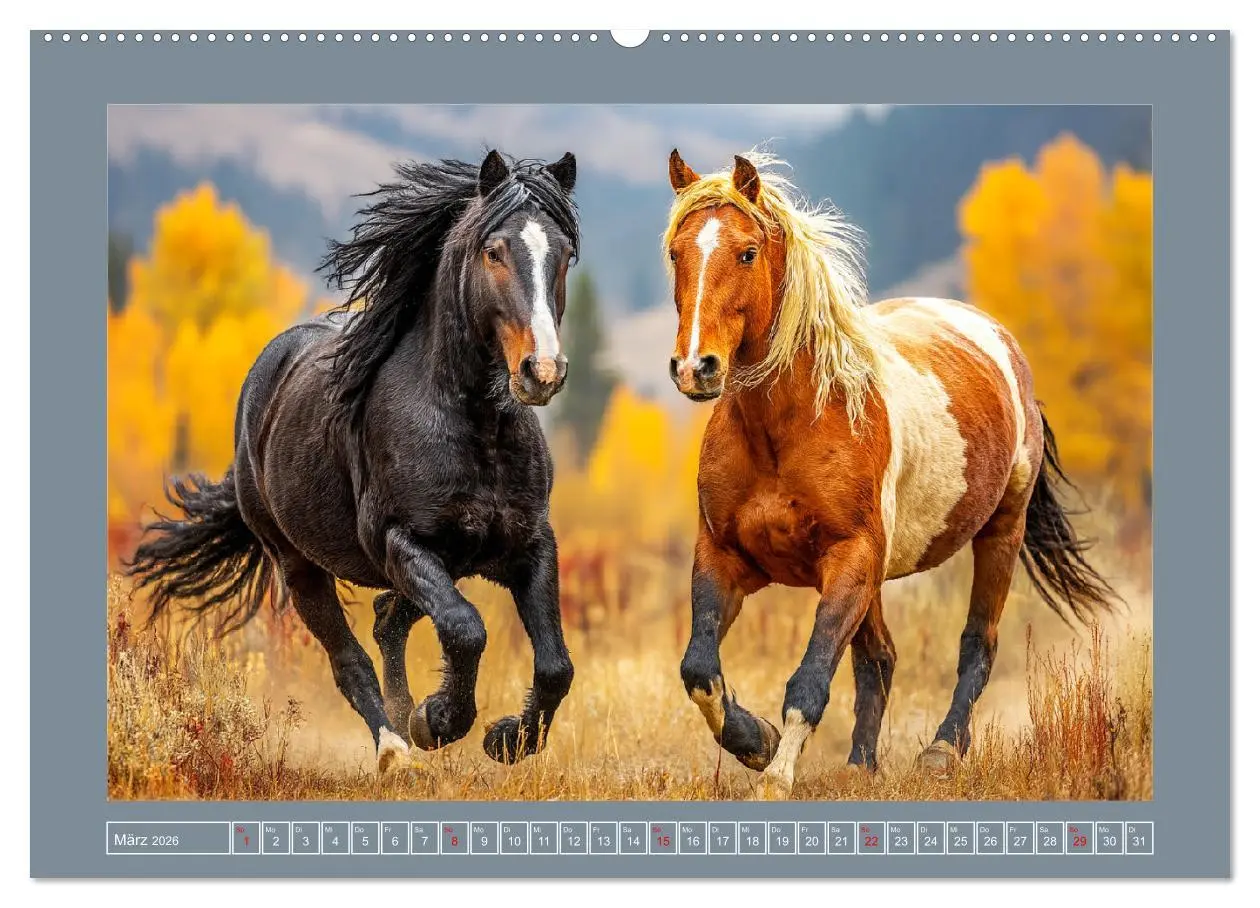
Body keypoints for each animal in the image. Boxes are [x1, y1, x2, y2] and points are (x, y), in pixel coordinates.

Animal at [127, 150, 582, 773]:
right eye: (494, 251)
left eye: (565, 254)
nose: (543, 371)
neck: (472, 427)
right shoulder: (399, 541)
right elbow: (465, 629)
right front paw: (438, 721)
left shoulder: (530, 545)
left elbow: (556, 664)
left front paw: (504, 739)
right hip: (297, 564)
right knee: (351, 660)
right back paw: (395, 747)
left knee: (390, 618)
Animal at [662, 150, 1116, 799]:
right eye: (677, 252)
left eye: (747, 252)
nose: (695, 367)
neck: (790, 427)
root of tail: (1000, 343)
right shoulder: (726, 557)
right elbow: (700, 670)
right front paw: (758, 743)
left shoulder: (849, 559)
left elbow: (810, 680)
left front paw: (776, 775)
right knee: (879, 656)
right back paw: (860, 765)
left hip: (998, 533)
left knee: (977, 642)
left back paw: (942, 751)